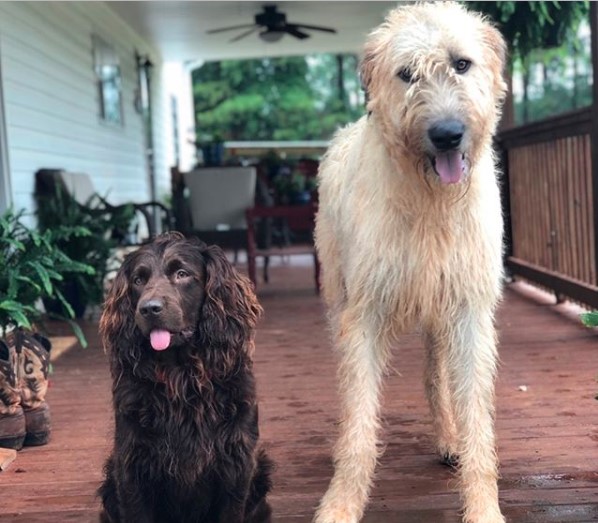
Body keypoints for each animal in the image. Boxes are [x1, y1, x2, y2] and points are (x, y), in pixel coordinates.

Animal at [316, 4, 508, 523]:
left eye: (461, 64)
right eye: (406, 74)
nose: (447, 134)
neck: (431, 201)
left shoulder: (468, 311)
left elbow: (476, 413)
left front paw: (483, 507)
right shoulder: (363, 312)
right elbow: (360, 416)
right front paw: (341, 503)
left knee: (435, 374)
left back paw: (448, 437)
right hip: (337, 291)